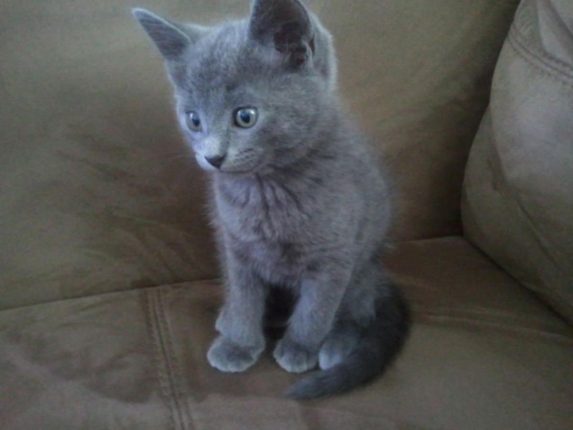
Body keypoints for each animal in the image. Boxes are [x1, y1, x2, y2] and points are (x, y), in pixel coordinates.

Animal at [135, 0, 406, 400]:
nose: (213, 157)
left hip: (363, 268)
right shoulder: (234, 247)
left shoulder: (334, 256)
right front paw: (238, 343)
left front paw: (299, 348)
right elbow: (245, 297)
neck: (263, 191)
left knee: (359, 311)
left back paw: (337, 345)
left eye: (245, 116)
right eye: (193, 120)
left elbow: (316, 309)